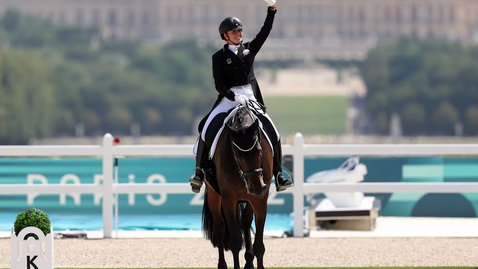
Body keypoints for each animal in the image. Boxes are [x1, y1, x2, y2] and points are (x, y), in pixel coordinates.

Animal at [201, 102, 272, 268]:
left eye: (260, 150)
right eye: (237, 154)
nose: (257, 187)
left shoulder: (260, 200)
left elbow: (259, 245)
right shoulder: (229, 199)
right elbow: (235, 241)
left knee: (245, 221)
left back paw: (249, 262)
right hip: (214, 195)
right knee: (219, 227)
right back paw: (222, 265)